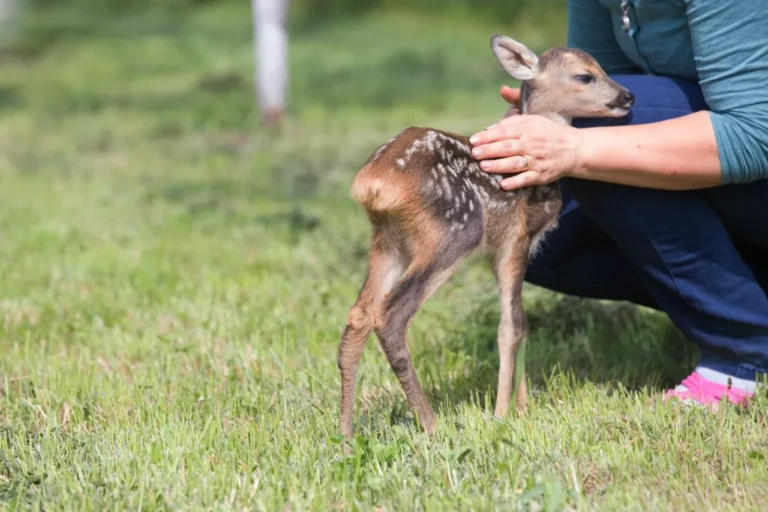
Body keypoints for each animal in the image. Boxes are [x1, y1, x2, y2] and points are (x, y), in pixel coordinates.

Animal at [336, 35, 635, 438]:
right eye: (585, 76)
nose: (628, 96)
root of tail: (373, 183)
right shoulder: (516, 238)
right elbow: (511, 325)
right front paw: (502, 413)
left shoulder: (500, 250)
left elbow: (521, 321)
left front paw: (522, 406)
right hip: (455, 231)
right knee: (391, 314)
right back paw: (431, 425)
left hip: (388, 241)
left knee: (359, 315)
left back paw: (345, 434)